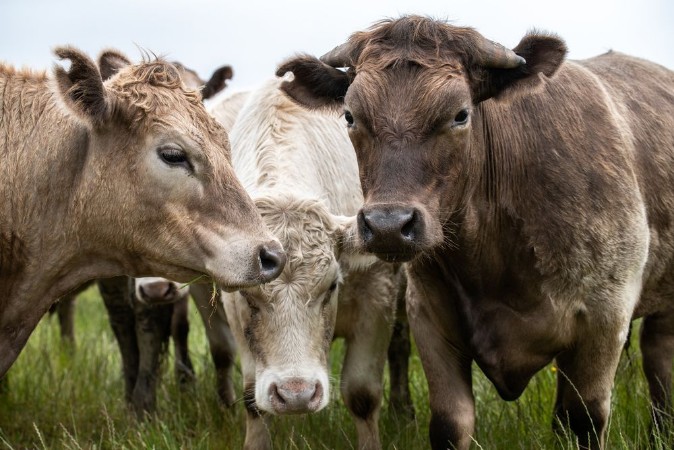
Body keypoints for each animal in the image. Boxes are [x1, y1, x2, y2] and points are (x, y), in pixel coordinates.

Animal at [208, 78, 403, 450]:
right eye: (248, 296)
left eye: (331, 286)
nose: (296, 394)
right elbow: (253, 401)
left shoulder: (378, 296)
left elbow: (362, 394)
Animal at [275, 15, 674, 450]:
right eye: (349, 116)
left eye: (460, 114)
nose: (388, 226)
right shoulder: (429, 316)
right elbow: (451, 423)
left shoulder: (605, 317)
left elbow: (582, 419)